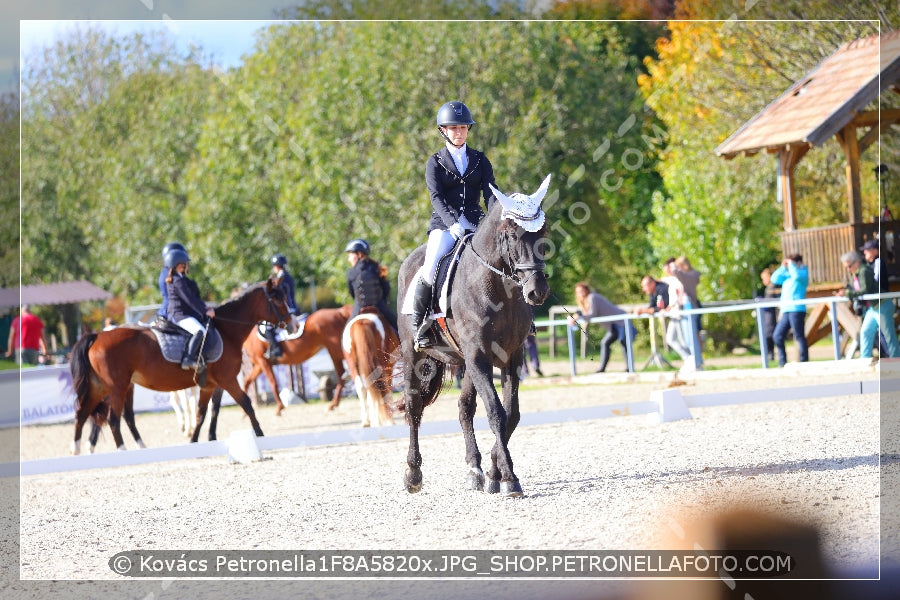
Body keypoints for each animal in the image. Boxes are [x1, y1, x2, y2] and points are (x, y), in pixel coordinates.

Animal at [72, 278, 296, 452]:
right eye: (277, 299)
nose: (293, 326)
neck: (227, 330)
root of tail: (97, 336)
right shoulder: (227, 380)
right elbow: (246, 404)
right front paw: (260, 434)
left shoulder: (210, 385)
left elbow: (203, 413)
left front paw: (196, 440)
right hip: (117, 388)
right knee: (113, 420)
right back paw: (121, 450)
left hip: (102, 387)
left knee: (84, 414)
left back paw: (78, 450)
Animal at [398, 173, 552, 496]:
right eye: (512, 234)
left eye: (543, 231)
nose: (538, 291)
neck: (498, 289)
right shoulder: (480, 357)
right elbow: (496, 412)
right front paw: (510, 478)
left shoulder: (510, 357)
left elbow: (511, 414)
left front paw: (495, 473)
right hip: (413, 354)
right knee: (414, 407)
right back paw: (413, 473)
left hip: (465, 361)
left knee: (464, 408)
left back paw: (475, 470)